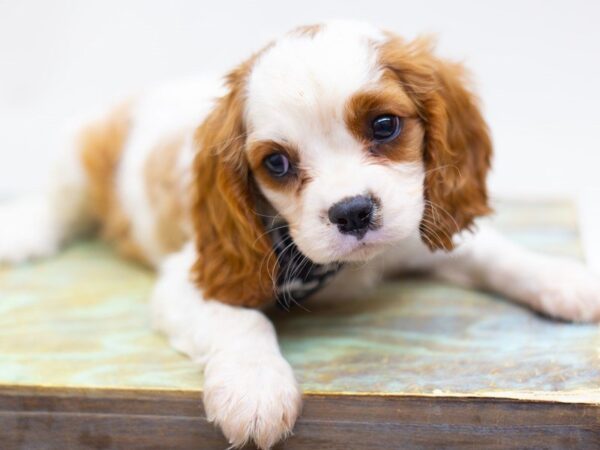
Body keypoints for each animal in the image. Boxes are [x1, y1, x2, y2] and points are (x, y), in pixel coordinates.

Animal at [1, 20, 600, 446]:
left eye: (385, 125)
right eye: (277, 164)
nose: (353, 213)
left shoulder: (419, 226)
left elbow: (497, 254)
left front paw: (566, 279)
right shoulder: (193, 274)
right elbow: (242, 321)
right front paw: (255, 388)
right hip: (78, 153)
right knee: (58, 203)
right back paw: (22, 231)